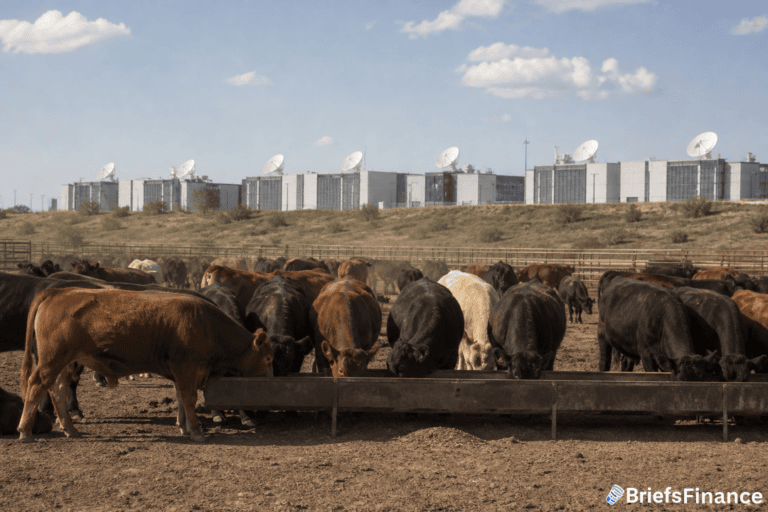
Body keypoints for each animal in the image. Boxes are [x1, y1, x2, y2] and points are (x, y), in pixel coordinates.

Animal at [17, 288, 274, 443]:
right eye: (269, 359)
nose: (272, 379)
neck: (207, 325)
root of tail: (58, 292)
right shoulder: (187, 369)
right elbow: (189, 399)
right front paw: (195, 431)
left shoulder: (180, 373)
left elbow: (181, 398)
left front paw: (183, 426)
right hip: (52, 359)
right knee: (36, 385)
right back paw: (25, 431)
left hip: (65, 362)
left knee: (57, 390)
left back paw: (70, 429)